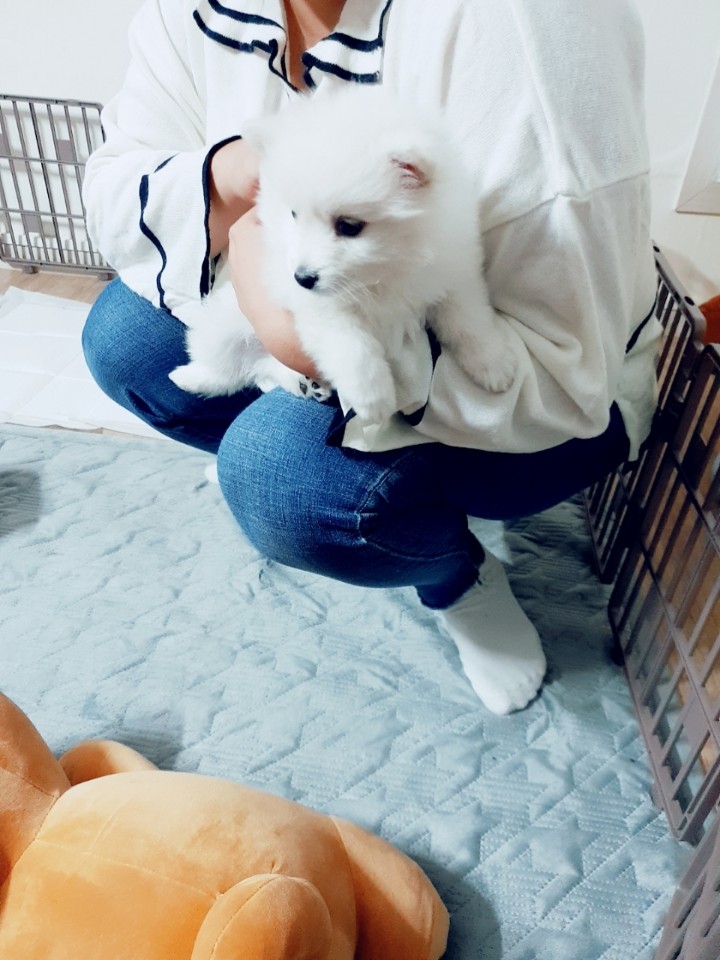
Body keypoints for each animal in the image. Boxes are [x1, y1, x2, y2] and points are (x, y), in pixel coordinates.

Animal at [169, 85, 516, 424]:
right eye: (293, 214)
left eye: (349, 226)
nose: (302, 277)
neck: (387, 267)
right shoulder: (317, 306)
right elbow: (350, 344)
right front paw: (372, 396)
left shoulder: (453, 272)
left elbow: (468, 320)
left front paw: (493, 363)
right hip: (225, 323)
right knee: (229, 369)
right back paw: (191, 376)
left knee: (262, 370)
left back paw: (302, 382)